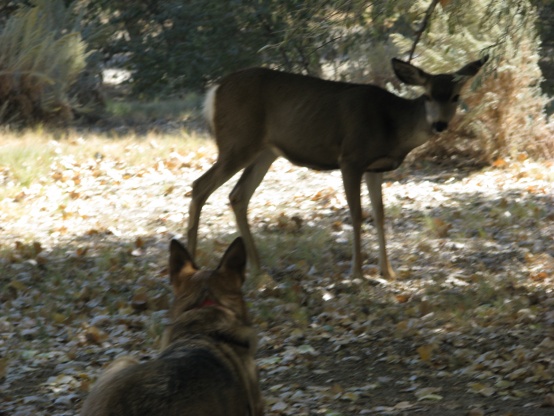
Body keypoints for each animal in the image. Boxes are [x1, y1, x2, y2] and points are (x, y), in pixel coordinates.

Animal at [187, 53, 488, 278]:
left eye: (455, 97)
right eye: (427, 96)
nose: (440, 124)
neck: (391, 127)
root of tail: (213, 92)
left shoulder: (374, 168)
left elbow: (379, 214)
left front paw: (388, 272)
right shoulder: (351, 158)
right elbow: (356, 214)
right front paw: (357, 273)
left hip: (265, 153)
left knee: (238, 195)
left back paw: (258, 269)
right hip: (237, 143)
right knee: (200, 185)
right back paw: (191, 264)